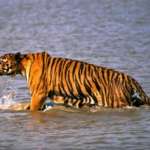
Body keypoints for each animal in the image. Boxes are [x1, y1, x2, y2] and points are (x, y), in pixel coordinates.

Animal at [0, 51, 149, 110]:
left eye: (2, 60)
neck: (22, 66)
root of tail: (128, 77)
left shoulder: (38, 94)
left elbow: (32, 108)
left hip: (116, 101)